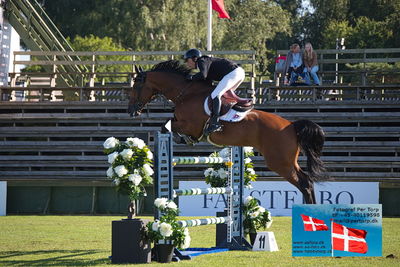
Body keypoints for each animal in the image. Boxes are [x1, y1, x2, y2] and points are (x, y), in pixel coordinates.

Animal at [128, 59, 328, 204]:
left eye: (136, 86)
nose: (131, 111)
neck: (185, 92)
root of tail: (291, 126)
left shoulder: (190, 125)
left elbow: (167, 125)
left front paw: (183, 139)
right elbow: (168, 123)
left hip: (280, 163)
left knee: (304, 184)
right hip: (287, 161)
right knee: (307, 182)